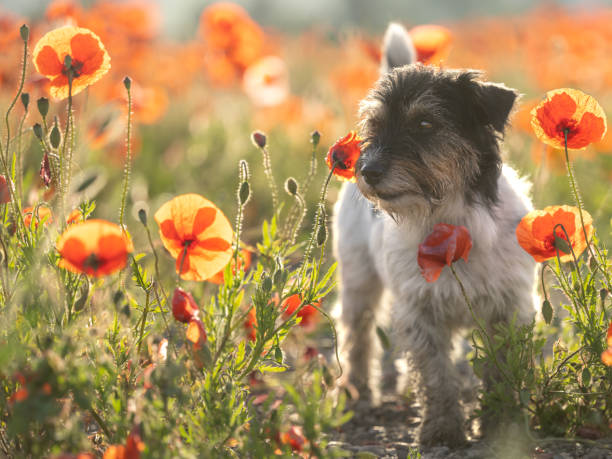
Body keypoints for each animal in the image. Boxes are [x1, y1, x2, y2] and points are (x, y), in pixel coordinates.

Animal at [332, 23, 536, 448]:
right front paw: (442, 429)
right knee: (358, 335)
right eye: (374, 126)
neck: (449, 219)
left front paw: (502, 425)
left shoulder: (508, 308)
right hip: (359, 280)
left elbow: (501, 371)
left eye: (425, 124)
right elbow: (435, 375)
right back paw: (356, 392)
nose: (367, 171)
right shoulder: (419, 310)